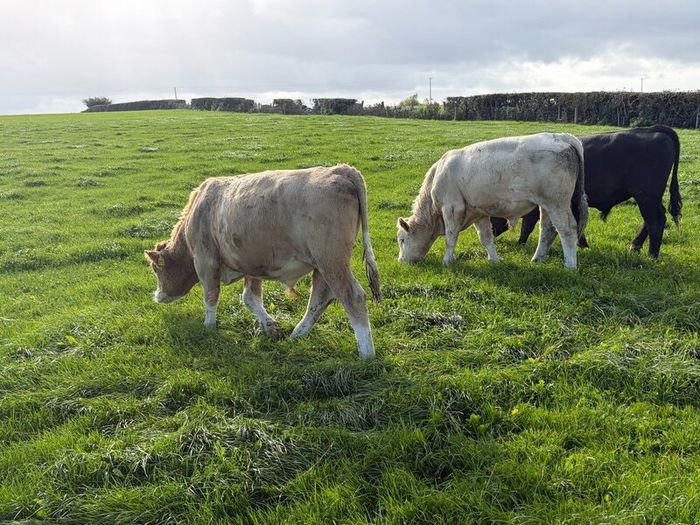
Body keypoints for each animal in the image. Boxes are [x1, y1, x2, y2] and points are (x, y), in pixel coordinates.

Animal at [145, 165, 381, 359]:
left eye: (156, 269)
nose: (157, 296)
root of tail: (339, 169)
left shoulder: (205, 261)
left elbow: (211, 296)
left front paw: (208, 326)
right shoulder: (251, 265)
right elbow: (250, 298)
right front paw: (271, 327)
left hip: (331, 260)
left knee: (352, 297)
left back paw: (367, 354)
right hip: (322, 265)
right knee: (319, 299)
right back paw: (297, 334)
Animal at [397, 133, 588, 268]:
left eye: (401, 240)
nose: (401, 261)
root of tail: (560, 136)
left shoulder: (451, 208)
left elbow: (450, 237)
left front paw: (447, 261)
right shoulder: (478, 213)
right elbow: (486, 238)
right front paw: (494, 260)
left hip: (557, 203)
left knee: (567, 230)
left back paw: (570, 266)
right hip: (546, 205)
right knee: (547, 230)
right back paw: (537, 259)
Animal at [491, 125, 682, 258]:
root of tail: (652, 129)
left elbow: (528, 225)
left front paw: (520, 244)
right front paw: (583, 245)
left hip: (646, 196)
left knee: (655, 220)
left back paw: (652, 255)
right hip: (648, 198)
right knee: (649, 221)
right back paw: (635, 247)